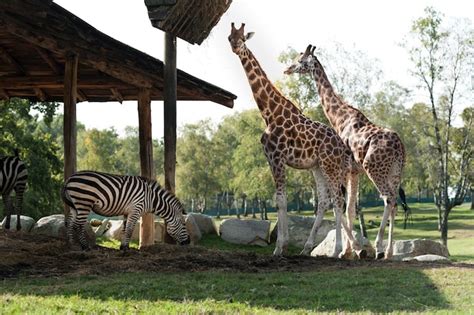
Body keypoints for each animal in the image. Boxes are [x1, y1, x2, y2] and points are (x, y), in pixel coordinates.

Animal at [62, 172, 190, 251]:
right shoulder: (135, 210)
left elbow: (124, 229)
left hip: (75, 206)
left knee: (69, 223)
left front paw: (122, 246)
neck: (150, 198)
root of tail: (69, 179)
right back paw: (85, 247)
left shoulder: (126, 212)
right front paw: (126, 248)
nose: (188, 242)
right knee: (78, 225)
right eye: (184, 224)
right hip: (84, 203)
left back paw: (72, 245)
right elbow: (129, 229)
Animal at [228, 23, 364, 258]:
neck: (269, 113)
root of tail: (341, 146)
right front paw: (283, 245)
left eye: (243, 38)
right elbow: (279, 201)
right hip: (317, 167)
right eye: (229, 37)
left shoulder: (278, 158)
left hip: (330, 166)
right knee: (326, 201)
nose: (236, 46)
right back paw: (310, 248)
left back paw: (338, 250)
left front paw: (279, 247)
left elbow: (281, 201)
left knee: (338, 201)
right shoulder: (270, 158)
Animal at [284, 45, 406, 260]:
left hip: (374, 168)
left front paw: (346, 251)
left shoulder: (344, 168)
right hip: (395, 172)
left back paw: (379, 248)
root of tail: (400, 146)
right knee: (395, 203)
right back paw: (390, 252)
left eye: (300, 60)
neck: (339, 117)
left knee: (388, 199)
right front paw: (351, 250)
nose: (288, 69)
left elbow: (340, 206)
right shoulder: (354, 171)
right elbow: (350, 209)